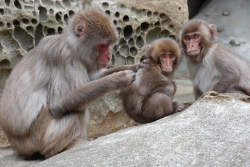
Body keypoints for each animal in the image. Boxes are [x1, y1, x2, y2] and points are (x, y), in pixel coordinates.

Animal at [0, 8, 141, 159]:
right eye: (103, 45)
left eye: (109, 45)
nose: (109, 57)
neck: (73, 45)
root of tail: (16, 144)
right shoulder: (65, 58)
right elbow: (58, 104)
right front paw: (120, 79)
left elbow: (93, 78)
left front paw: (135, 66)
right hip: (36, 136)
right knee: (74, 110)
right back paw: (58, 149)